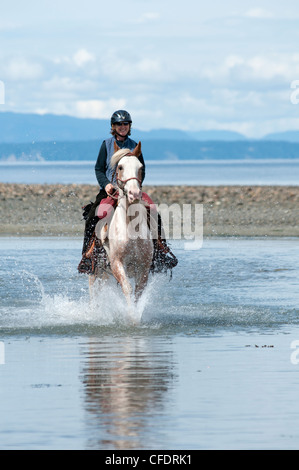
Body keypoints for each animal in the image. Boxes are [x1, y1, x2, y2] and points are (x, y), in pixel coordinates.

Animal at [90, 142, 154, 320]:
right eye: (120, 167)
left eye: (141, 167)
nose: (134, 194)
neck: (131, 226)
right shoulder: (117, 263)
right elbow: (127, 288)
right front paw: (130, 316)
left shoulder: (144, 265)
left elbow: (138, 291)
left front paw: (136, 316)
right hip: (95, 268)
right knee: (93, 292)